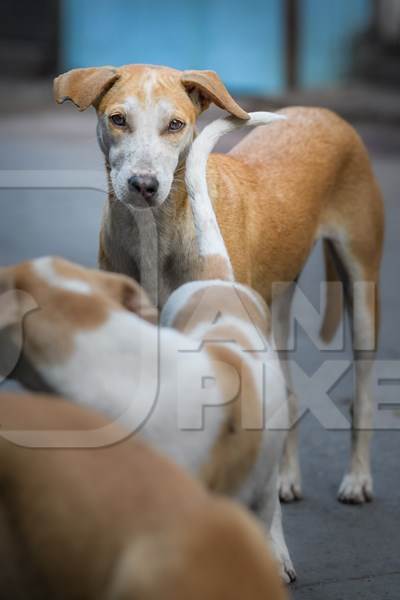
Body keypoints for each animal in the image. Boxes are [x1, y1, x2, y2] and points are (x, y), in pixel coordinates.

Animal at [54, 63, 384, 506]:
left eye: (175, 125)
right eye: (118, 119)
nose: (144, 185)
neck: (157, 232)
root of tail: (322, 111)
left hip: (361, 289)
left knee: (362, 395)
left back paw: (357, 478)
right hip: (276, 309)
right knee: (289, 393)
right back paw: (285, 477)